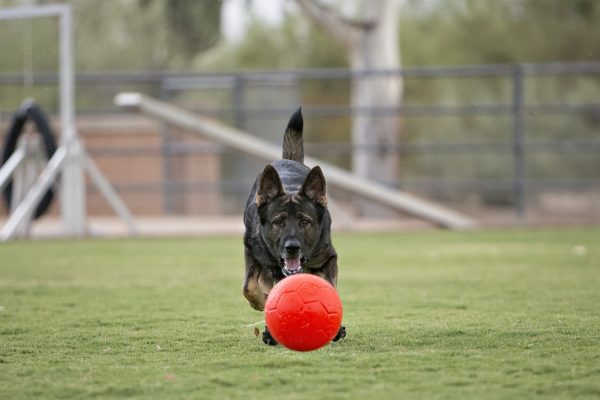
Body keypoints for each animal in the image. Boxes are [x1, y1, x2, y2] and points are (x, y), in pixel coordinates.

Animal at [243, 108, 346, 346]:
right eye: (278, 222)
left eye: (305, 221)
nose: (292, 248)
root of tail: (287, 160)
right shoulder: (252, 252)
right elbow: (250, 288)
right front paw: (264, 304)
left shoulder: (328, 257)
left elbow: (330, 288)